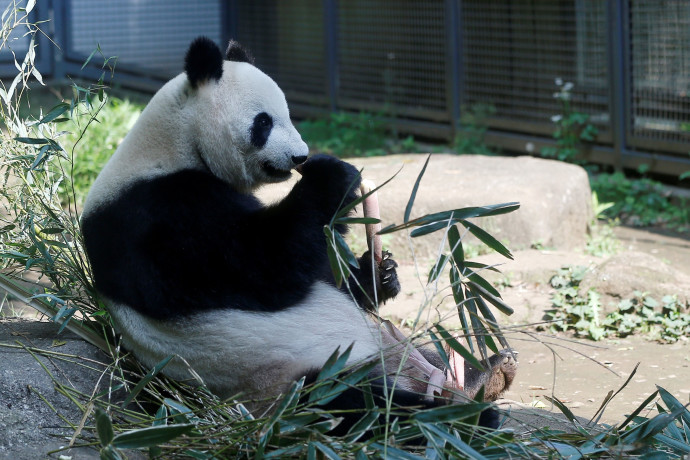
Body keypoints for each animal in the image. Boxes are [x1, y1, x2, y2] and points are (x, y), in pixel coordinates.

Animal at [80, 37, 512, 434]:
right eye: (264, 122)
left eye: (288, 114)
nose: (300, 156)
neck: (174, 143)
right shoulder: (157, 216)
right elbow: (264, 264)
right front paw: (333, 175)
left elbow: (319, 268)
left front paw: (380, 274)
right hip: (291, 379)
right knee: (358, 408)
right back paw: (462, 418)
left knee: (433, 354)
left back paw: (485, 374)